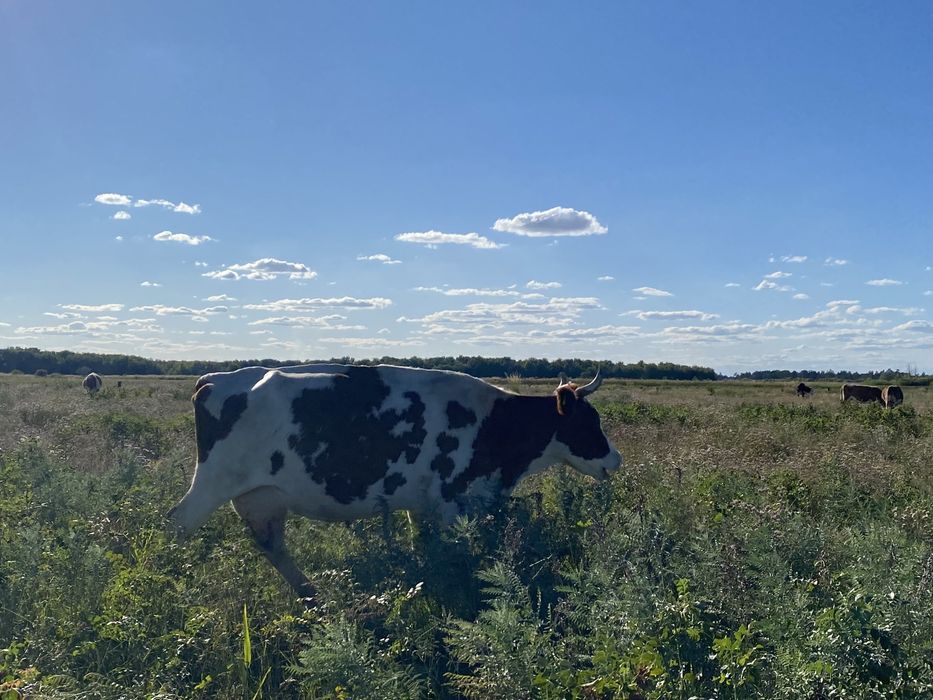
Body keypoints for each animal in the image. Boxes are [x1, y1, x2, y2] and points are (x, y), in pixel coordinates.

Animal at [169, 364, 623, 598]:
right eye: (588, 422)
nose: (615, 461)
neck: (494, 422)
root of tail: (215, 378)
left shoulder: (423, 505)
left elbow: (426, 547)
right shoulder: (451, 503)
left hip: (261, 496)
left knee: (273, 547)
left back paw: (310, 593)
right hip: (212, 484)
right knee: (178, 523)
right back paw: (174, 581)